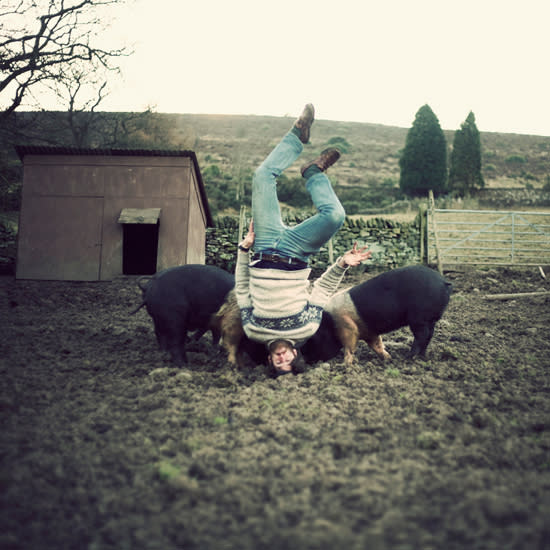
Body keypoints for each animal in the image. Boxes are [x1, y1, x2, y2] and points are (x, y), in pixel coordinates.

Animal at [302, 266, 452, 366]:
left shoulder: (347, 327)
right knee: (429, 335)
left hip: (419, 318)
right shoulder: (369, 332)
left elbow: (349, 346)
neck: (329, 323)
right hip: (429, 319)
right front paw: (387, 358)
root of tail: (443, 282)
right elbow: (376, 344)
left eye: (313, 341)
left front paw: (346, 365)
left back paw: (408, 357)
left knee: (422, 335)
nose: (307, 362)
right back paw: (421, 356)